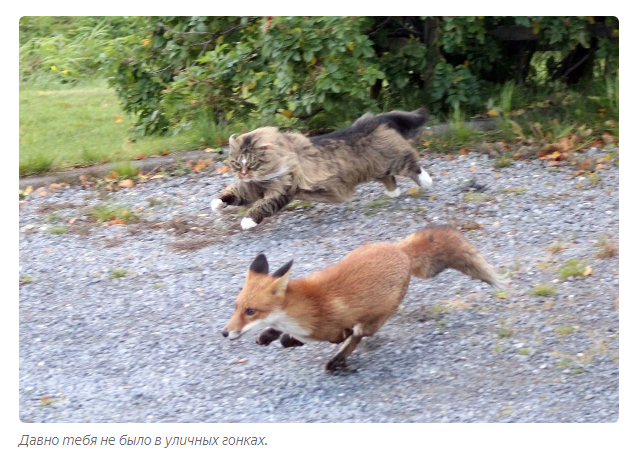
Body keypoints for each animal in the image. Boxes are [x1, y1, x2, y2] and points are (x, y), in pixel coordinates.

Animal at [212, 106, 432, 229]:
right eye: (236, 163)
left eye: (252, 163)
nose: (243, 173)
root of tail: (369, 122)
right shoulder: (248, 188)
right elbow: (231, 194)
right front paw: (216, 203)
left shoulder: (281, 190)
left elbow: (262, 206)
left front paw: (247, 221)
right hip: (376, 167)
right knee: (388, 177)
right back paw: (393, 193)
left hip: (393, 159)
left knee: (411, 162)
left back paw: (426, 181)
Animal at [222, 226, 508, 372]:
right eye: (236, 307)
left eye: (250, 311)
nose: (224, 333)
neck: (303, 307)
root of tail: (400, 250)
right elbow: (278, 334)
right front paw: (270, 335)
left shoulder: (334, 329)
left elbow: (331, 336)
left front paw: (288, 339)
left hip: (374, 319)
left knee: (358, 336)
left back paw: (337, 361)